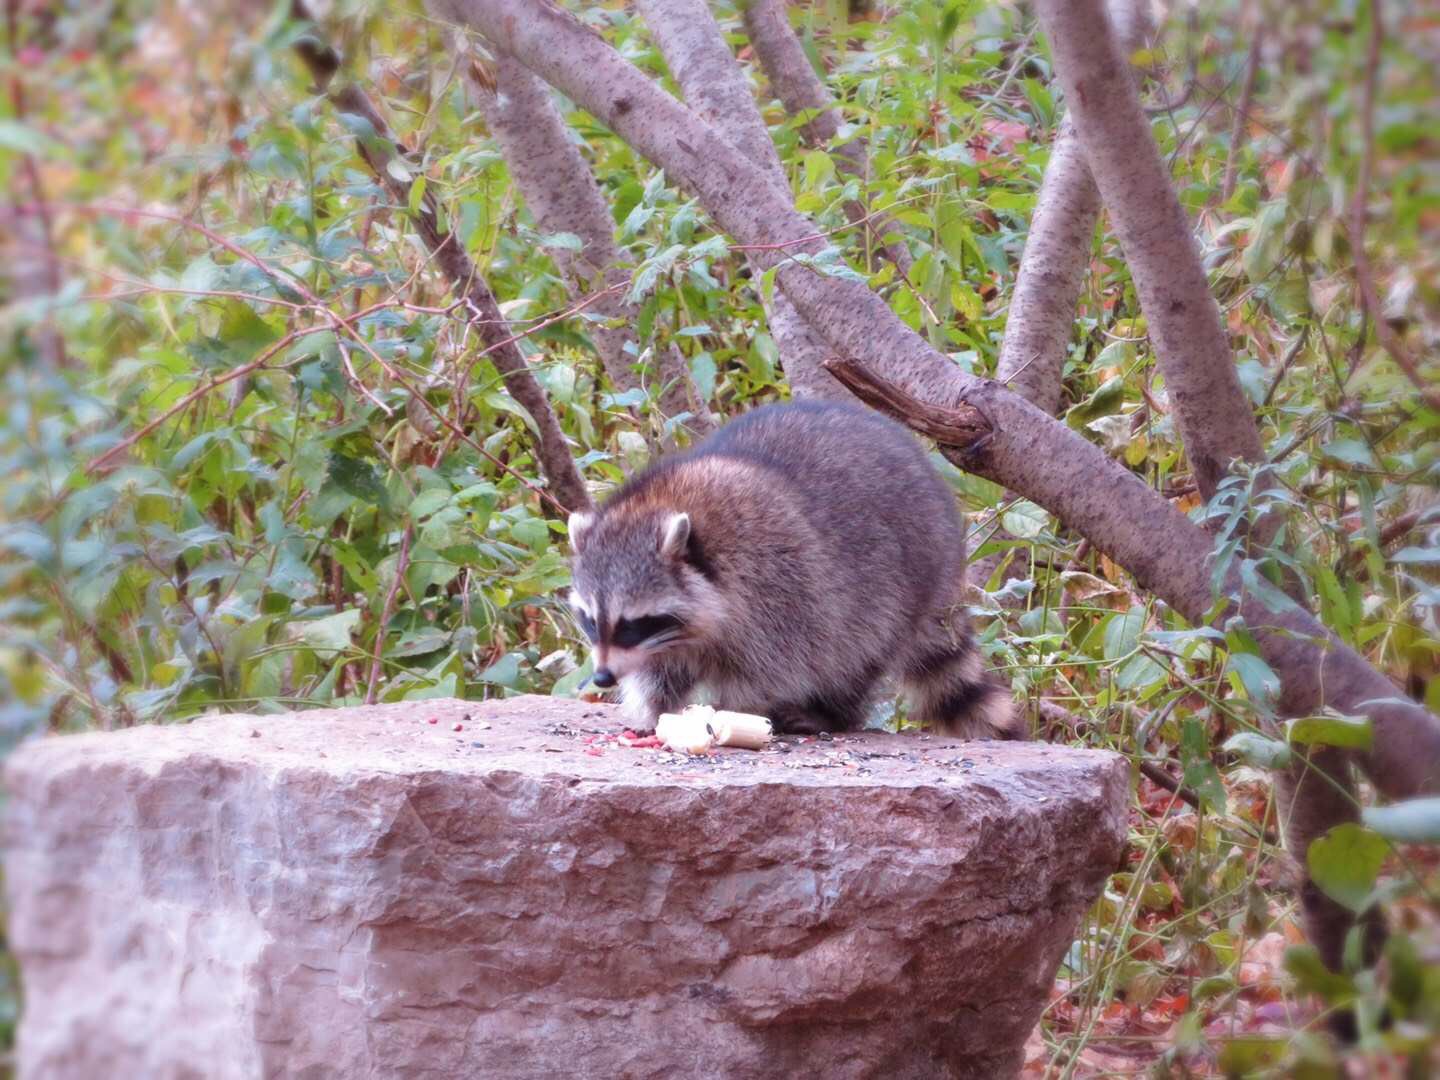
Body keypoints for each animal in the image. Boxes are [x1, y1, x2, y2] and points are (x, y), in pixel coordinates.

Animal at [564, 403, 1025, 743]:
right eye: (590, 621)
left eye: (632, 624)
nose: (602, 677)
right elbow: (659, 672)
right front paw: (657, 709)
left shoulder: (780, 589)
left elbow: (773, 667)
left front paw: (732, 709)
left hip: (901, 583)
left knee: (855, 653)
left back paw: (830, 713)